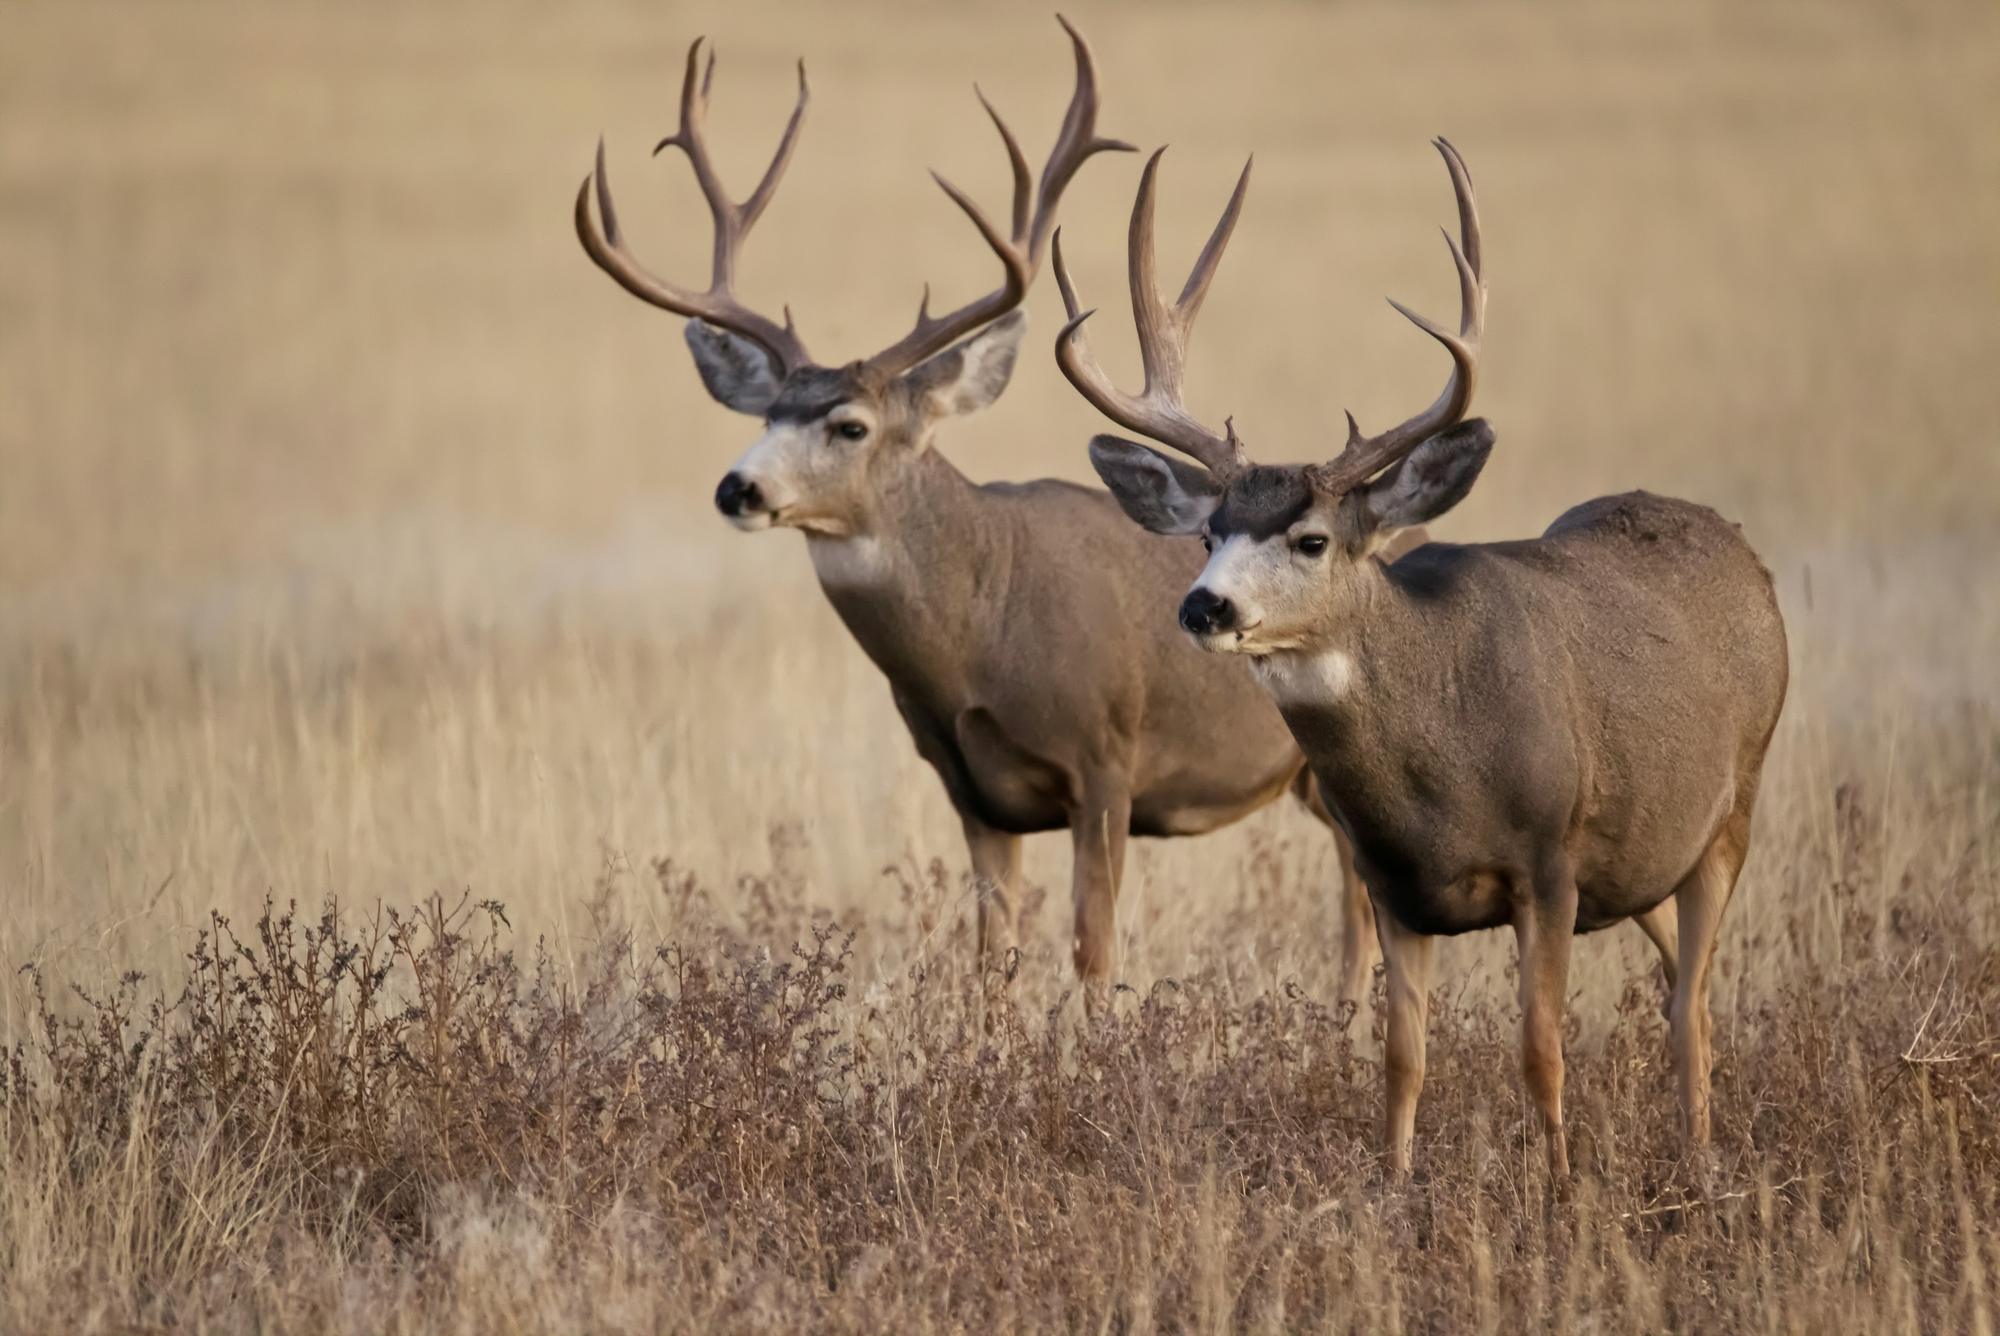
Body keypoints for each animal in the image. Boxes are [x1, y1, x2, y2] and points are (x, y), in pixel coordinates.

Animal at [573, 19, 1393, 1014]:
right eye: (765, 414)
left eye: (850, 424)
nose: (740, 488)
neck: (980, 629)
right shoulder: (971, 792)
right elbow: (989, 961)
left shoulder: (1106, 762)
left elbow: (1093, 954)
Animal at [1051, 138, 1788, 1180]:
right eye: (1207, 534)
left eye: (1312, 539)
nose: (1204, 605)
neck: (1440, 769)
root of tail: (1743, 555)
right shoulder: (1392, 883)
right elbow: (1401, 1056)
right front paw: (1393, 1186)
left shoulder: (1551, 863)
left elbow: (1540, 1048)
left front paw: (1559, 1186)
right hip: (1651, 852)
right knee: (1683, 984)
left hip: (1735, 806)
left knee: (1692, 1006)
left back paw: (1700, 1160)